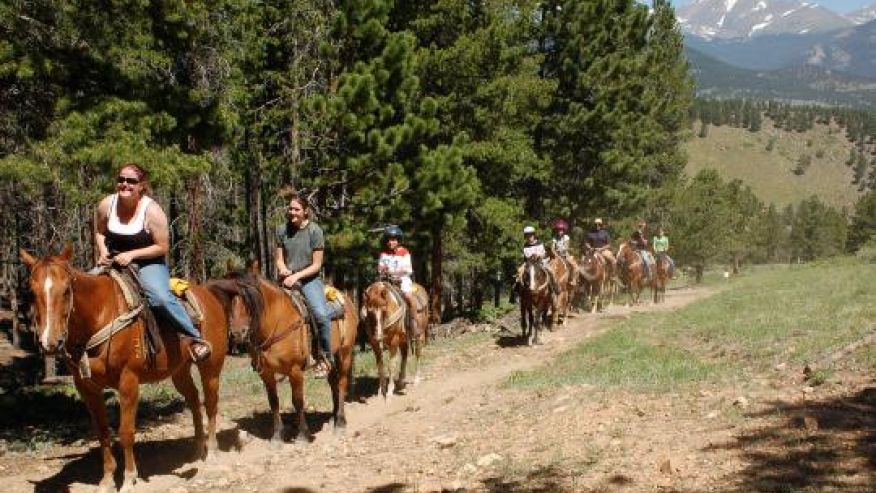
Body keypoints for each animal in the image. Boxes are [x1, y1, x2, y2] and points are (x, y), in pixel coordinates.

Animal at [20, 246, 228, 492]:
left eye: (66, 290)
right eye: (32, 292)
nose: (49, 343)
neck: (99, 315)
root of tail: (209, 294)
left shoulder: (128, 380)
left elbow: (126, 432)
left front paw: (129, 478)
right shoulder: (86, 387)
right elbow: (102, 432)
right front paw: (107, 480)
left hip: (211, 367)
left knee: (211, 404)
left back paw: (212, 452)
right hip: (180, 370)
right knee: (194, 401)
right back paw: (197, 451)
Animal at [210, 268, 358, 444]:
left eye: (249, 298)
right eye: (227, 299)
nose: (238, 333)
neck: (277, 322)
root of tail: (346, 300)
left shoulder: (295, 370)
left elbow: (298, 400)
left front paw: (302, 435)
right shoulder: (266, 373)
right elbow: (273, 401)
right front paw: (277, 436)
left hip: (345, 353)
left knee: (341, 383)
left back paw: (340, 422)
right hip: (331, 359)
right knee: (333, 383)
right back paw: (333, 418)